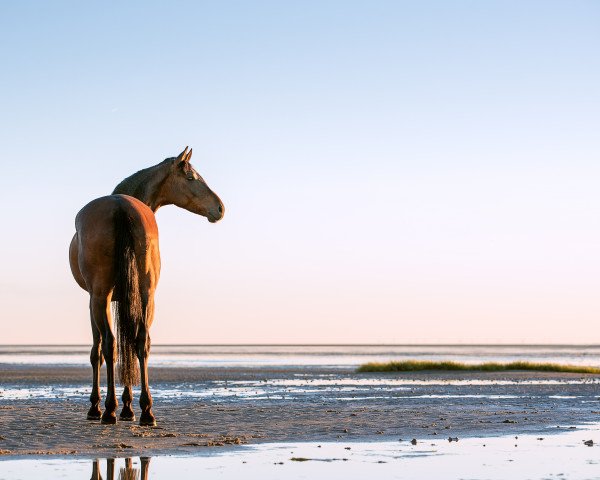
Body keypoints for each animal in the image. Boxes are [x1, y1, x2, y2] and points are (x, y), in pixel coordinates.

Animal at [68, 146, 223, 424]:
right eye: (191, 177)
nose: (219, 208)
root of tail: (121, 206)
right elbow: (128, 344)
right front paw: (129, 408)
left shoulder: (94, 300)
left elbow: (98, 350)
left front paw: (98, 407)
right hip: (146, 294)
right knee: (140, 342)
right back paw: (146, 410)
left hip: (101, 297)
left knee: (110, 344)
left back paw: (109, 410)